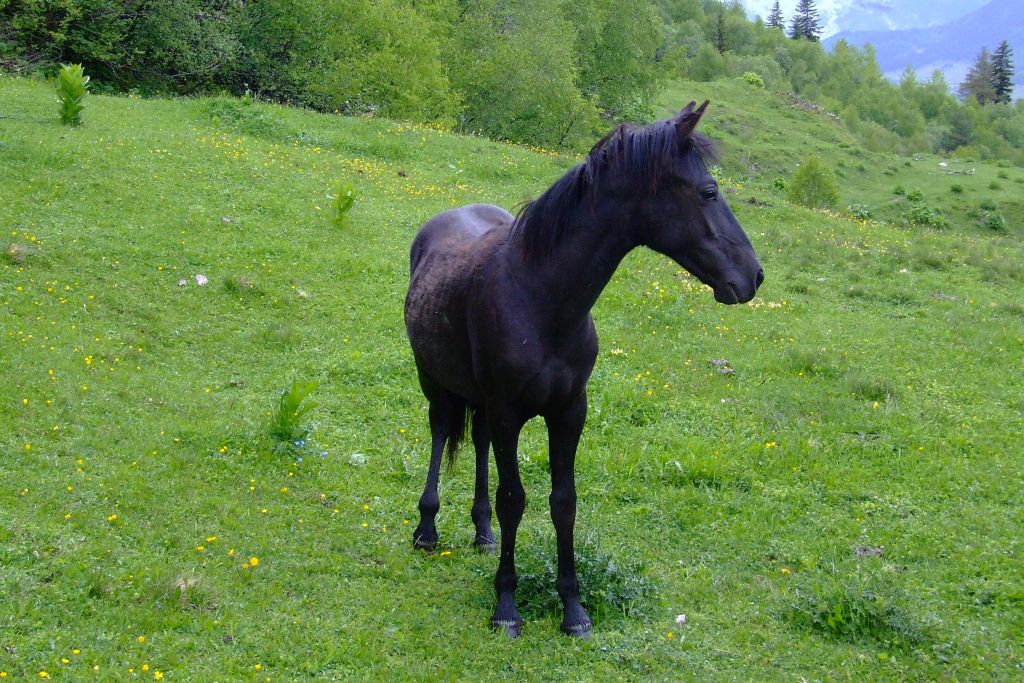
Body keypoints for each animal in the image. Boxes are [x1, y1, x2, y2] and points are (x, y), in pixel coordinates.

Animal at [404, 101, 763, 639]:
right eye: (709, 191)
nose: (753, 275)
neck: (540, 297)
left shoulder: (570, 411)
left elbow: (563, 502)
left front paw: (573, 609)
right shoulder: (509, 411)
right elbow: (515, 499)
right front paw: (506, 606)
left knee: (479, 441)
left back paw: (482, 531)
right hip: (435, 383)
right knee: (442, 431)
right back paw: (427, 529)